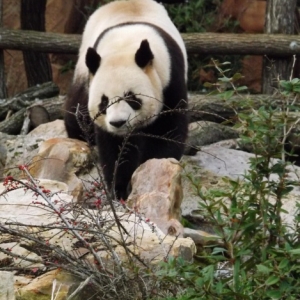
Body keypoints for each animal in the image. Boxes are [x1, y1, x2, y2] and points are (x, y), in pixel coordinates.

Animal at [64, 0, 189, 200]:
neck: (125, 46)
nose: (118, 122)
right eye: (104, 102)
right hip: (84, 71)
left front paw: (152, 171)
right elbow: (114, 147)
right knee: (77, 109)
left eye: (131, 97)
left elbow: (168, 130)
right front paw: (119, 188)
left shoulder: (170, 79)